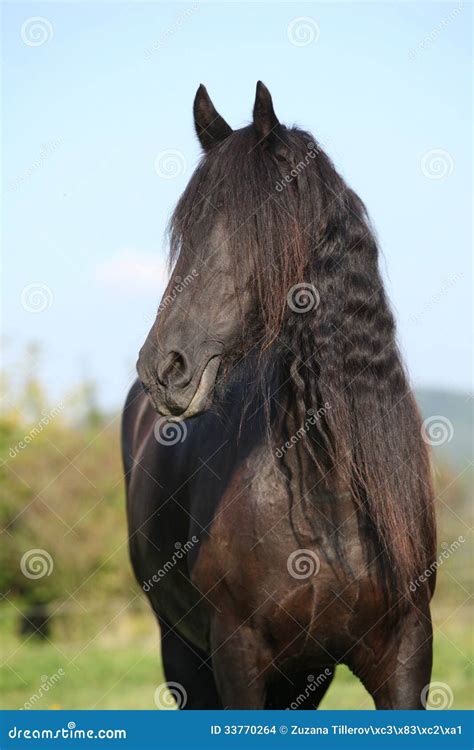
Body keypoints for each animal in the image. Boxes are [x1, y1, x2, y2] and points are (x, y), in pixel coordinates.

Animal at [123, 83, 436, 712]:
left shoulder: (406, 653)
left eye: (257, 228)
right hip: (180, 647)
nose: (163, 368)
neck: (329, 497)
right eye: (185, 234)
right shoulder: (236, 656)